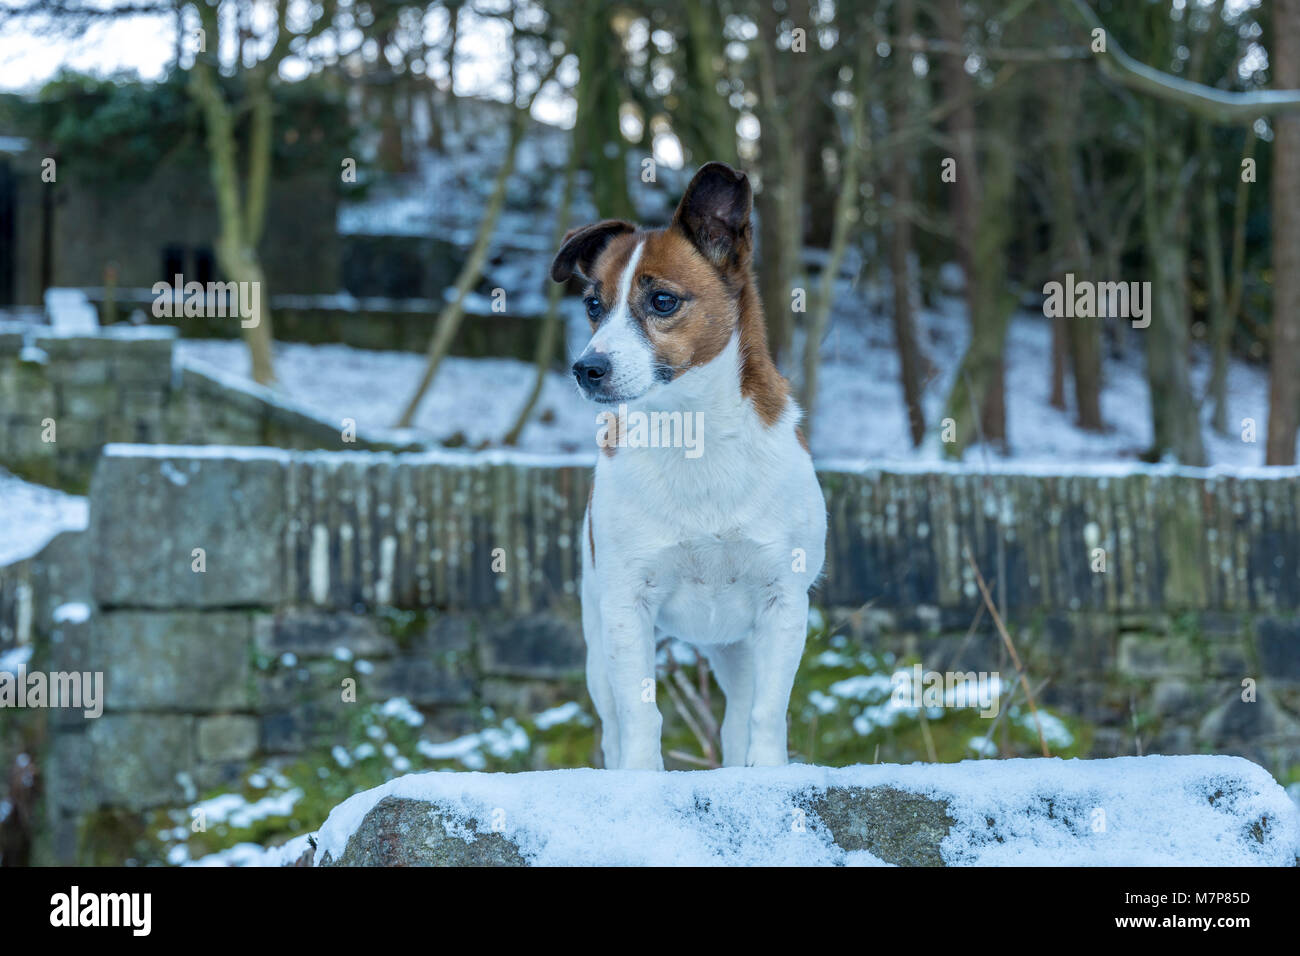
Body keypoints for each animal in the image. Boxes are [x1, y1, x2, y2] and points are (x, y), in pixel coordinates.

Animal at [548, 158, 821, 770]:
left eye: (663, 302)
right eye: (593, 306)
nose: (586, 369)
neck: (692, 432)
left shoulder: (782, 604)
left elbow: (766, 714)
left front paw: (768, 774)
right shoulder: (627, 607)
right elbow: (640, 716)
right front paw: (640, 777)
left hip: (737, 647)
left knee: (738, 716)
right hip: (598, 642)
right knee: (612, 721)